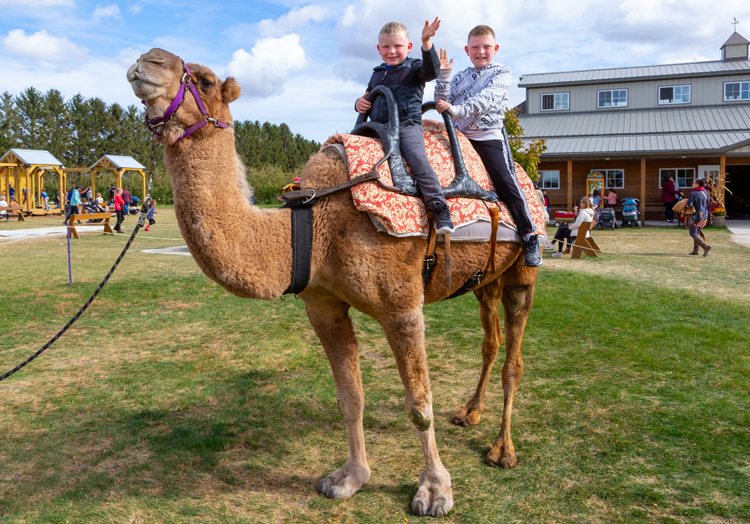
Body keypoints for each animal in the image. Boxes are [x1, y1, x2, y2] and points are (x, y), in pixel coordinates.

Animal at [129, 48, 540, 516]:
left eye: (204, 80)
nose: (148, 60)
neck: (316, 222)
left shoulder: (402, 307)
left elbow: (419, 404)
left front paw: (435, 490)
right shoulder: (323, 305)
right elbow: (350, 397)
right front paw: (349, 478)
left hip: (522, 273)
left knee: (514, 357)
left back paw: (502, 450)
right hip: (484, 278)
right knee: (490, 340)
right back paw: (470, 413)